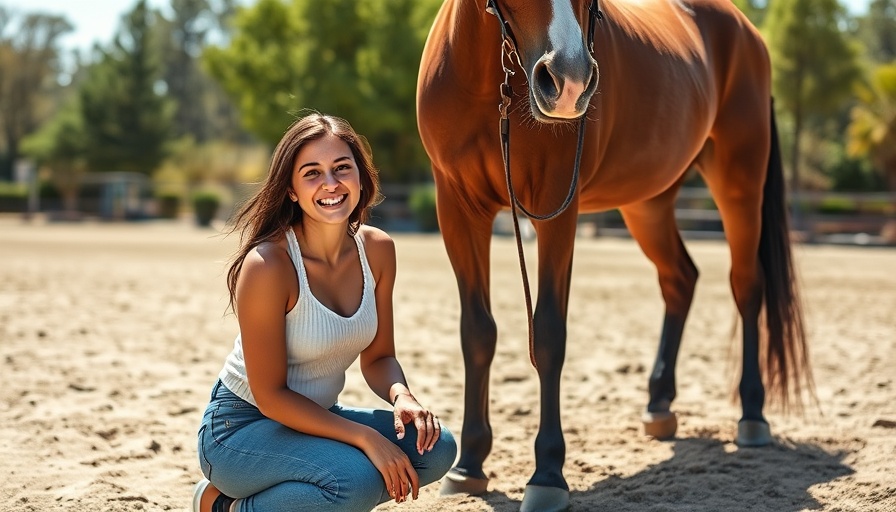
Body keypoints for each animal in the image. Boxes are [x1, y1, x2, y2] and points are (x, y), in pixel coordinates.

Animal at [416, 0, 812, 510]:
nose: (569, 82)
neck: (489, 83)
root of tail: (745, 29)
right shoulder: (458, 209)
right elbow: (477, 334)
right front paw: (469, 466)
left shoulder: (556, 206)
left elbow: (549, 334)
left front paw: (547, 475)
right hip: (649, 203)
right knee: (680, 279)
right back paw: (659, 405)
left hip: (739, 183)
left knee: (746, 287)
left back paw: (752, 416)